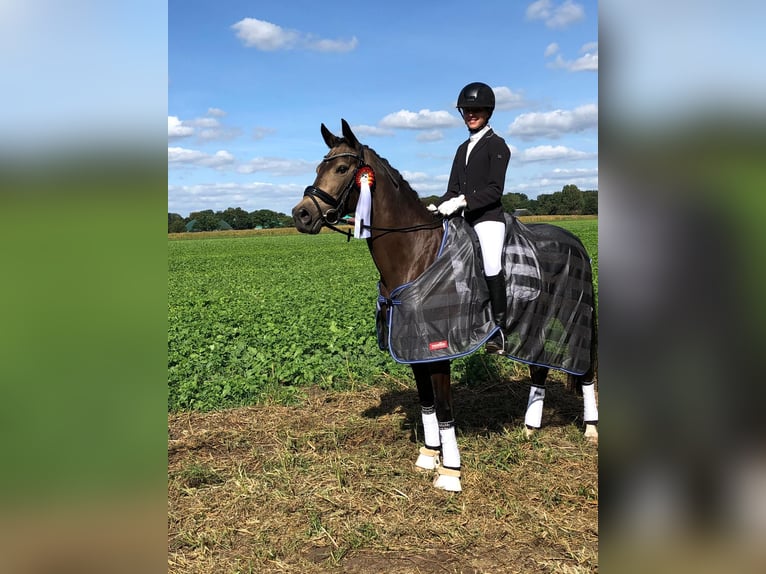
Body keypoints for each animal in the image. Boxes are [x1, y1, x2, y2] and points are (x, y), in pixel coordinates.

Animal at [292, 119, 596, 492]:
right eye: (319, 168)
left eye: (342, 168)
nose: (302, 215)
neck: (415, 252)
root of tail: (575, 241)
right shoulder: (413, 347)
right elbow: (427, 404)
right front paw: (428, 455)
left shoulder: (438, 350)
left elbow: (445, 408)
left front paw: (451, 472)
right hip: (536, 322)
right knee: (539, 366)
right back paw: (529, 429)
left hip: (575, 319)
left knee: (584, 368)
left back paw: (591, 430)